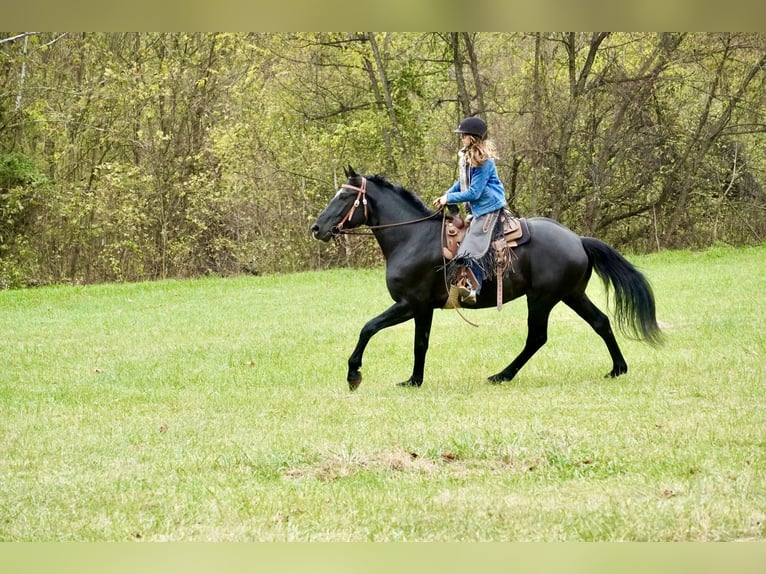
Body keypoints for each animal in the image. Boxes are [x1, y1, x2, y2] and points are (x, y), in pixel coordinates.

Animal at [310, 167, 663, 391]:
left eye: (343, 197)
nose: (316, 228)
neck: (411, 237)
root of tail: (578, 239)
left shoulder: (411, 304)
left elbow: (371, 328)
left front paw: (356, 373)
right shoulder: (421, 308)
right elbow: (416, 342)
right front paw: (413, 380)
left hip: (542, 299)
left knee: (537, 337)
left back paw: (502, 375)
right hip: (571, 295)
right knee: (600, 322)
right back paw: (618, 368)